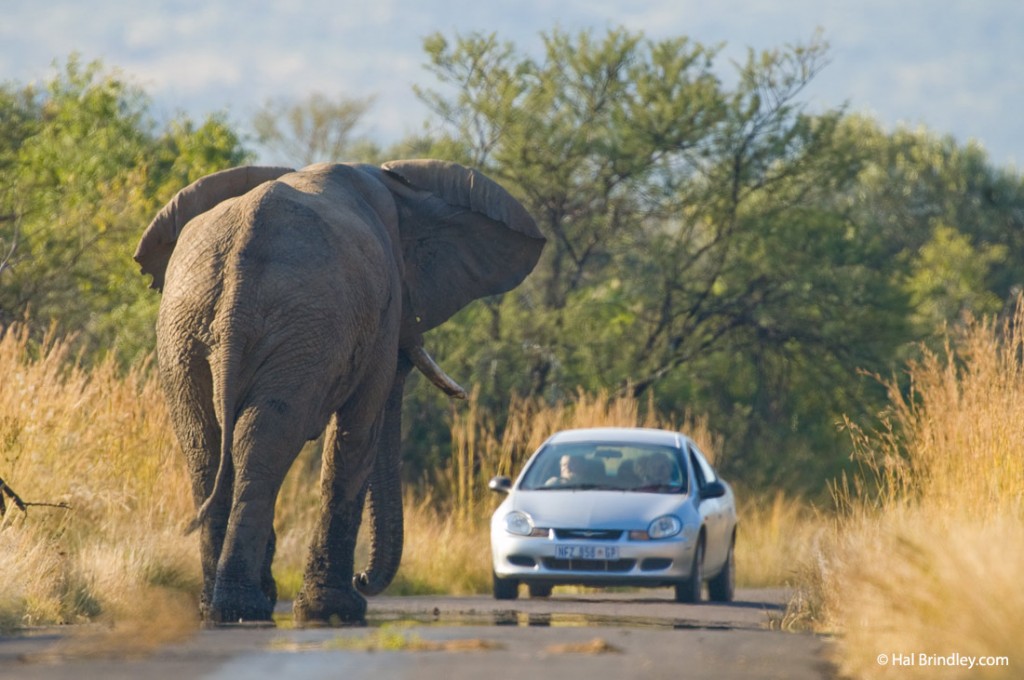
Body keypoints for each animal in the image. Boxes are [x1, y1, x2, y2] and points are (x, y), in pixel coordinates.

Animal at [136, 160, 544, 626]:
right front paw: (337, 610)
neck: (398, 194)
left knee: (206, 445)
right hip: (289, 329)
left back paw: (221, 607)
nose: (363, 578)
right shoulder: (379, 316)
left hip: (188, 332)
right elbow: (359, 430)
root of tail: (238, 270)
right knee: (262, 440)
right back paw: (243, 607)